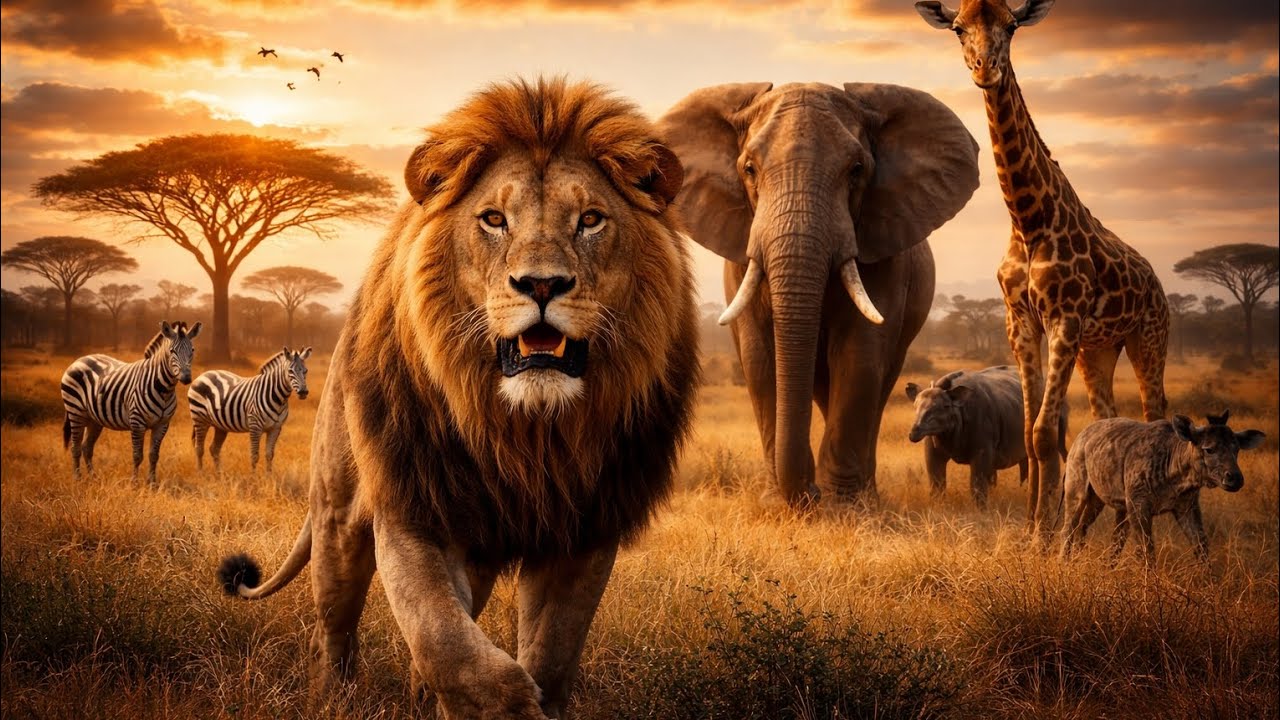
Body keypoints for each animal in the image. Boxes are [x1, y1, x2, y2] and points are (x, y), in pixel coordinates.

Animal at [216, 77, 699, 719]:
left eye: (591, 220)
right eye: (493, 219)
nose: (541, 284)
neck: (526, 432)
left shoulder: (587, 528)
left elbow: (552, 653)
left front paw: (532, 699)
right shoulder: (411, 505)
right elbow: (443, 639)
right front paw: (505, 707)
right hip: (337, 514)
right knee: (334, 625)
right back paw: (332, 698)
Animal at [657, 82, 980, 507]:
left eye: (856, 170)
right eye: (749, 169)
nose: (809, 494)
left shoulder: (883, 253)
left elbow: (859, 357)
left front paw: (843, 506)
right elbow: (761, 360)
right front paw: (782, 504)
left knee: (880, 382)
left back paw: (864, 494)